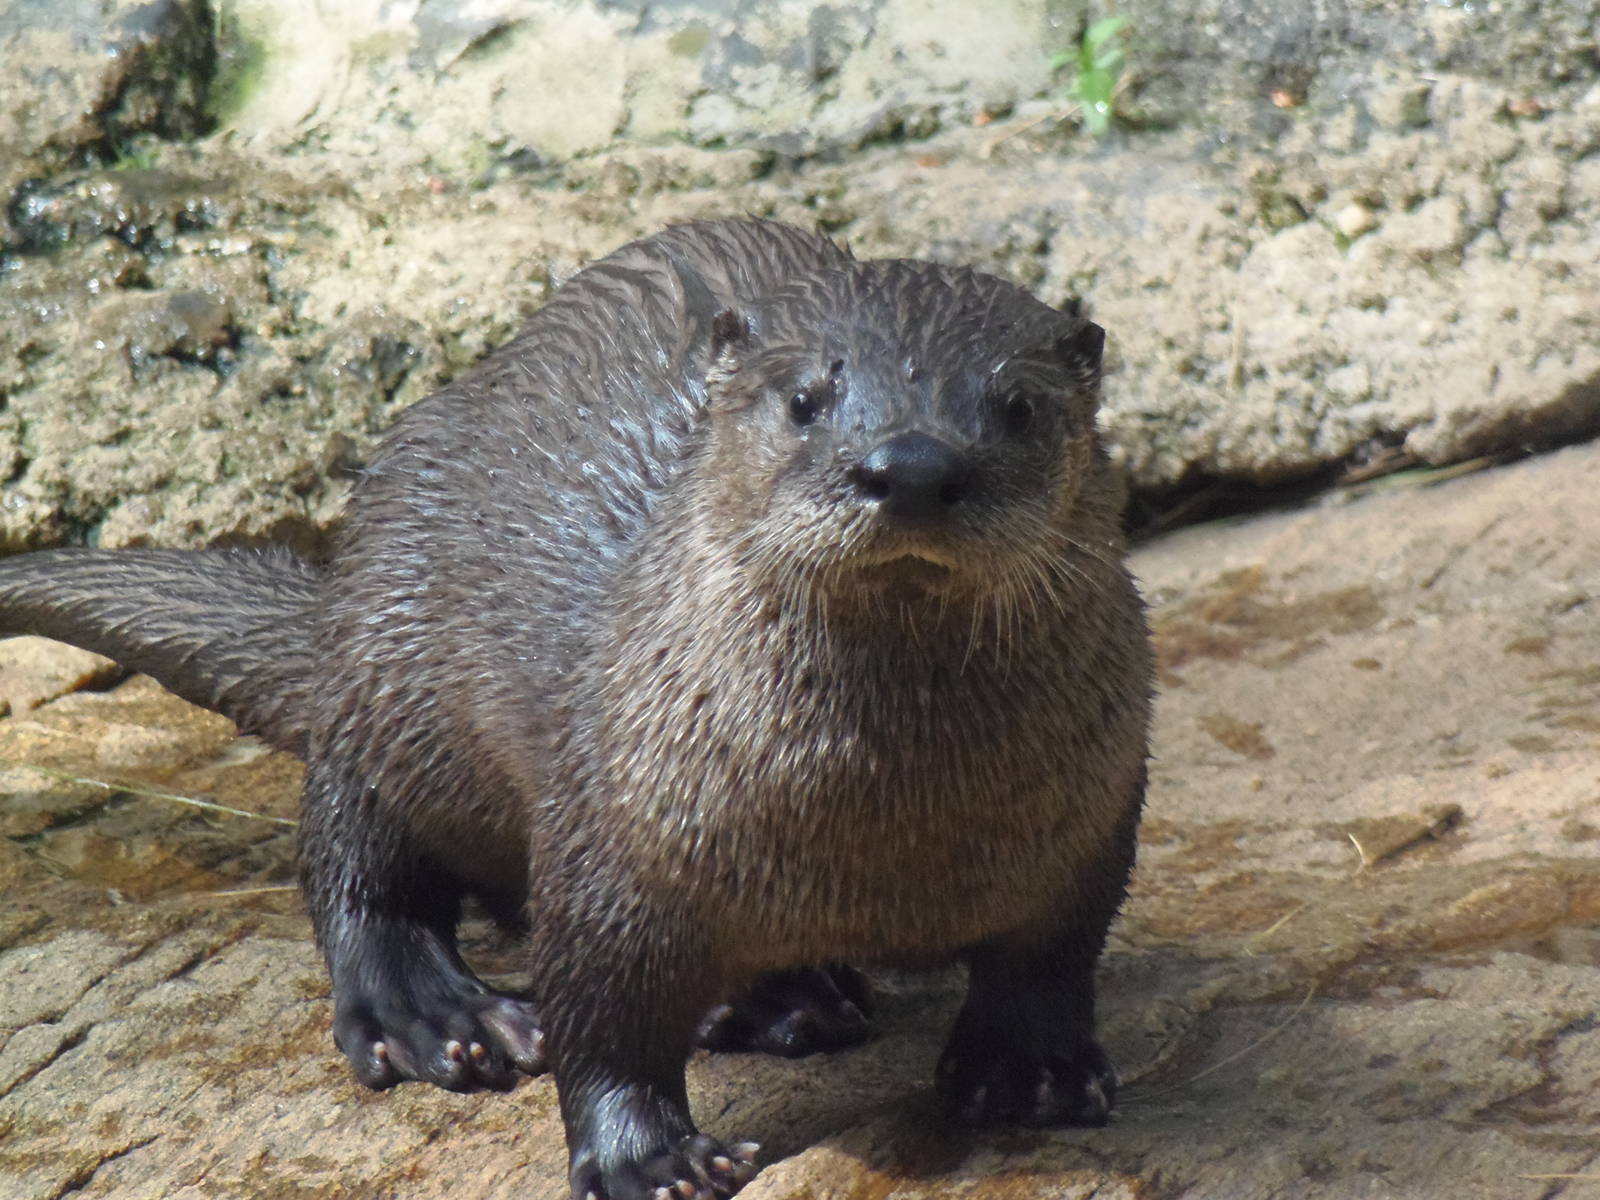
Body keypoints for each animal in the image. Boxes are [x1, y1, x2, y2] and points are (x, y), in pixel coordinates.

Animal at [0, 219, 1152, 1199]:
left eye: (1017, 407)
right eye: (803, 400)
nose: (909, 465)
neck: (889, 837)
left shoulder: (1095, 822)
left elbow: (1050, 959)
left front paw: (1030, 1072)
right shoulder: (616, 840)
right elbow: (604, 1015)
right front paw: (648, 1157)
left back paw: (788, 1000)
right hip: (389, 671)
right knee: (353, 855)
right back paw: (433, 1014)